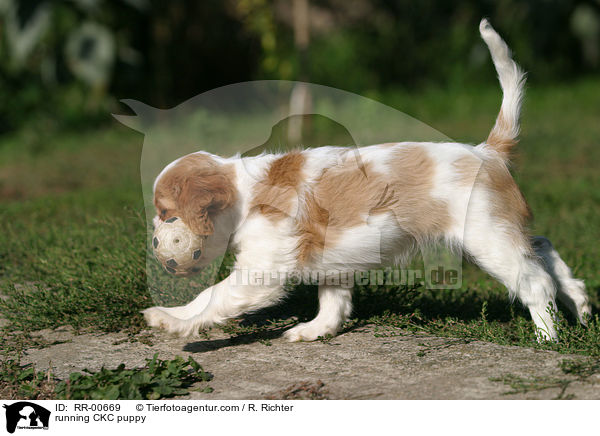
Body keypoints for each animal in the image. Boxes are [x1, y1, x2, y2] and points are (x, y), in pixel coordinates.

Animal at [145, 19, 592, 340]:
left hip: (485, 238)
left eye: (166, 214)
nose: (154, 235)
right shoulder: (334, 261)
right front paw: (314, 331)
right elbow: (333, 305)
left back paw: (547, 337)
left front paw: (172, 321)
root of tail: (488, 150)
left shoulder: (261, 269)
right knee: (542, 246)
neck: (245, 193)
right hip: (496, 232)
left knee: (535, 281)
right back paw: (581, 302)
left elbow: (213, 295)